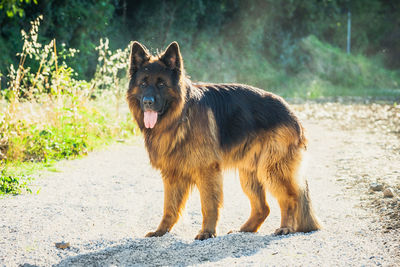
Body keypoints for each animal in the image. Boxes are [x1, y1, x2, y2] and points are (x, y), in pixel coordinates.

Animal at [126, 41, 320, 241]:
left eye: (161, 84)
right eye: (143, 84)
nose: (148, 102)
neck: (181, 115)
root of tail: (292, 113)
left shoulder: (207, 171)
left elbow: (208, 205)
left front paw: (207, 232)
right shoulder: (172, 174)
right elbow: (169, 208)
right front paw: (160, 232)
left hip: (272, 170)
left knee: (290, 198)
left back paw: (285, 228)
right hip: (249, 174)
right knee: (263, 208)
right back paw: (245, 230)